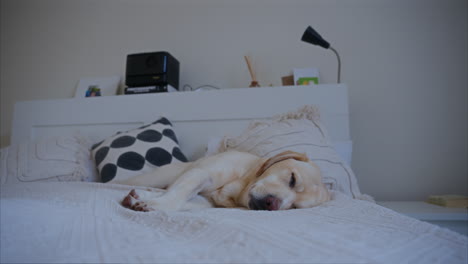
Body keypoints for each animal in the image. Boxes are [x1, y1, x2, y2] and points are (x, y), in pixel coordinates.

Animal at [119, 151, 330, 210]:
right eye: (292, 179)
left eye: (294, 207)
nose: (273, 204)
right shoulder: (200, 174)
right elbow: (179, 194)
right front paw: (156, 204)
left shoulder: (207, 201)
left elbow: (185, 201)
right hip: (153, 177)